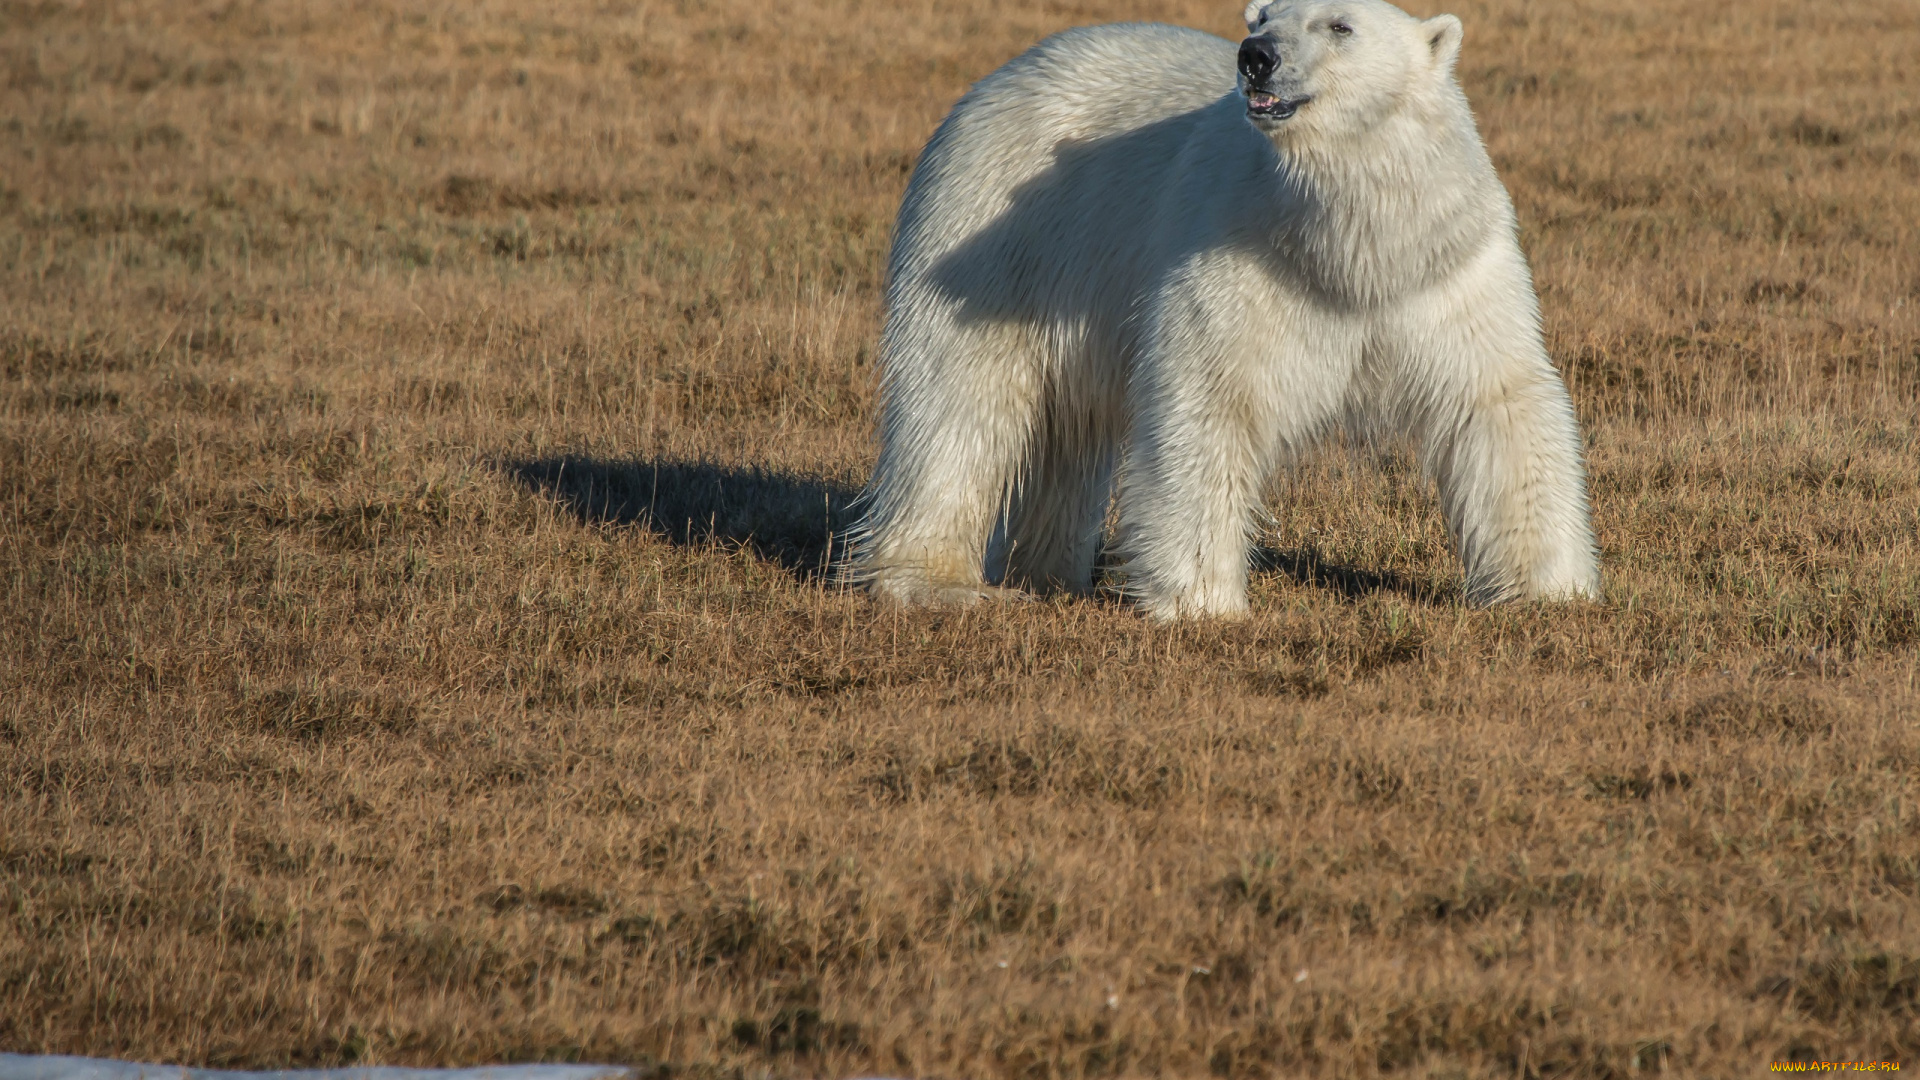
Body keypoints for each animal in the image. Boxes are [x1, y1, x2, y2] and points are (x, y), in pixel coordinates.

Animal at [848, 0, 1597, 618]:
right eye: (1260, 15)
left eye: (1341, 24)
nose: (1255, 55)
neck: (1352, 250)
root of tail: (998, 78)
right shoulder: (1239, 250)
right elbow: (1211, 393)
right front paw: (1202, 600)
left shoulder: (1450, 268)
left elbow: (1497, 400)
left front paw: (1550, 591)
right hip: (994, 233)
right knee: (959, 404)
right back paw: (935, 582)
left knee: (1068, 429)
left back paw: (1052, 573)